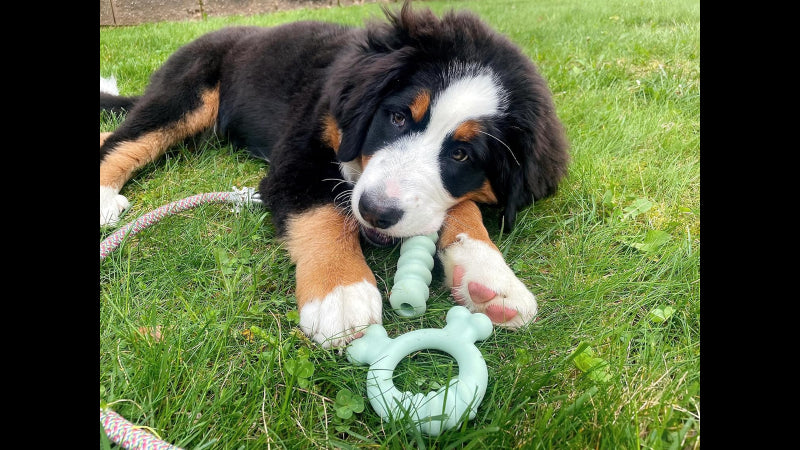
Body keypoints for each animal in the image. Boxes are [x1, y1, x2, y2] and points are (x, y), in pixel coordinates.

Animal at [101, 0, 568, 348]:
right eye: (397, 117)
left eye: (461, 154)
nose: (377, 211)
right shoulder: (298, 154)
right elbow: (324, 211)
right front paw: (340, 292)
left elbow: (463, 206)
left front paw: (489, 275)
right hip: (187, 95)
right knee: (125, 139)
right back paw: (105, 196)